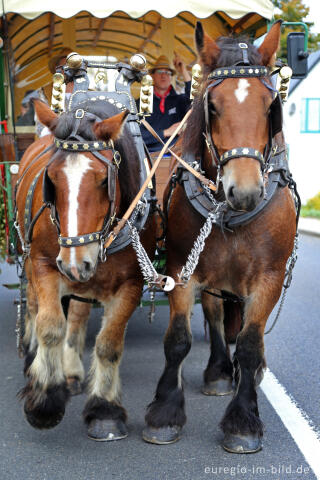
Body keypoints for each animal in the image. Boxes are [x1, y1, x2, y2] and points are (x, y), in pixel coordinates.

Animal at [15, 99, 156, 440]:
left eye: (105, 181)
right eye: (51, 179)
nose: (75, 262)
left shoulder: (131, 283)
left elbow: (109, 345)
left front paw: (104, 410)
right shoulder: (43, 265)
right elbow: (50, 326)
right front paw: (44, 401)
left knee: (78, 314)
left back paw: (72, 371)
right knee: (37, 309)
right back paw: (34, 358)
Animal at [142, 19, 298, 454]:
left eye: (271, 107)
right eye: (212, 106)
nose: (242, 192)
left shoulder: (268, 277)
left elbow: (249, 343)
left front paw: (243, 422)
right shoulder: (183, 268)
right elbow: (178, 339)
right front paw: (165, 412)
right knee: (213, 313)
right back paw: (217, 372)